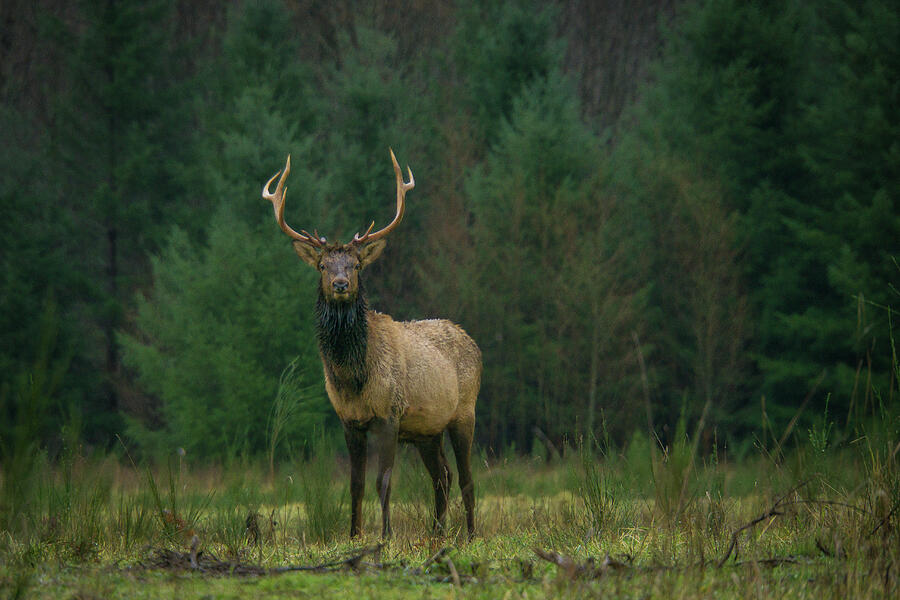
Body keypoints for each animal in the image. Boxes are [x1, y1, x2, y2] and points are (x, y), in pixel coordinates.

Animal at [262, 150, 480, 540]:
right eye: (322, 265)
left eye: (356, 264)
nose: (340, 284)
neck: (354, 378)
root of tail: (474, 343)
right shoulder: (350, 421)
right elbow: (355, 484)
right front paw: (354, 535)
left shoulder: (390, 414)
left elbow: (384, 481)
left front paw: (386, 535)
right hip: (427, 431)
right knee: (443, 476)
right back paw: (437, 533)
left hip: (464, 413)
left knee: (467, 478)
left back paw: (470, 535)